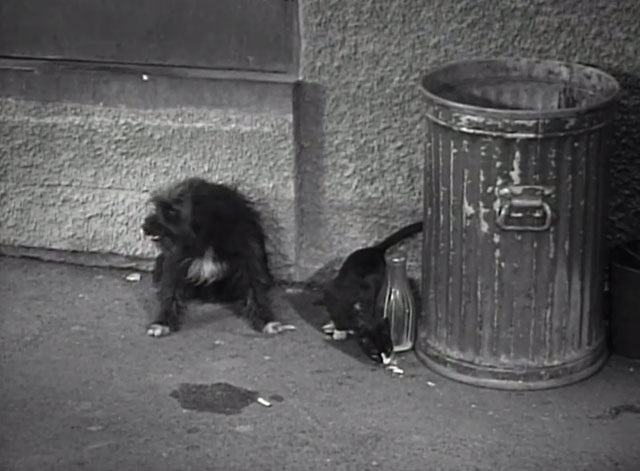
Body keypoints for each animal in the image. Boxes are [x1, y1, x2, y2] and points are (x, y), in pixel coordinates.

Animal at [141, 176, 294, 336]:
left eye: (171, 211)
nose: (144, 226)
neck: (210, 237)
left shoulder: (249, 257)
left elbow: (255, 289)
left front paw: (266, 320)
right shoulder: (177, 260)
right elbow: (171, 291)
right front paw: (163, 322)